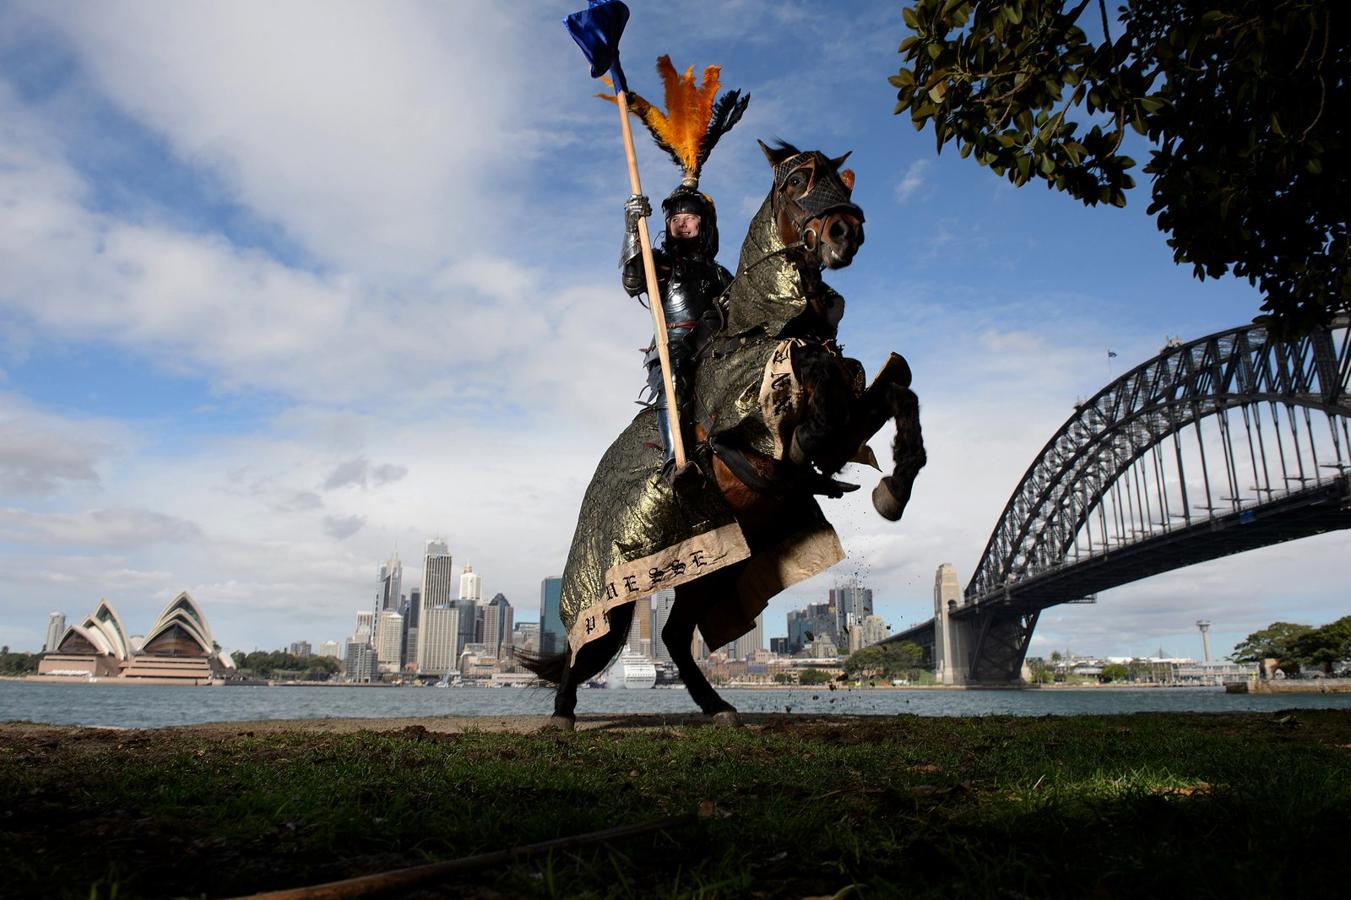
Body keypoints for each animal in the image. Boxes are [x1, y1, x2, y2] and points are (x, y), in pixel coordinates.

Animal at [521, 141, 924, 729]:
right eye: (797, 180)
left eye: (843, 180)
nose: (844, 230)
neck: (767, 330)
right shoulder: (765, 438)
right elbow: (816, 423)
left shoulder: (848, 410)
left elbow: (899, 389)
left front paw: (894, 487)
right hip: (619, 580)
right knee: (589, 642)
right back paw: (563, 713)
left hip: (711, 566)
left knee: (672, 635)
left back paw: (718, 707)